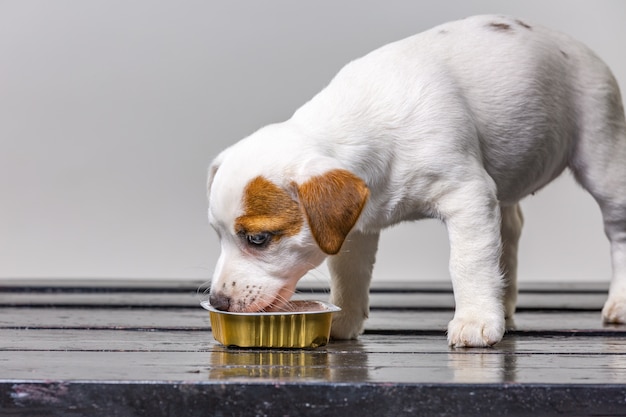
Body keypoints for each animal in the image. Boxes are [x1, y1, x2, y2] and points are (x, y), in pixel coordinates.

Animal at [207, 15, 624, 348]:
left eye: (259, 239)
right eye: (218, 236)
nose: (218, 302)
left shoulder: (468, 196)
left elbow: (469, 262)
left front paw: (474, 319)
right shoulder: (354, 229)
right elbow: (350, 274)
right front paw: (343, 320)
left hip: (603, 155)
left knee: (617, 230)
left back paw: (618, 301)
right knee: (509, 231)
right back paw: (502, 303)